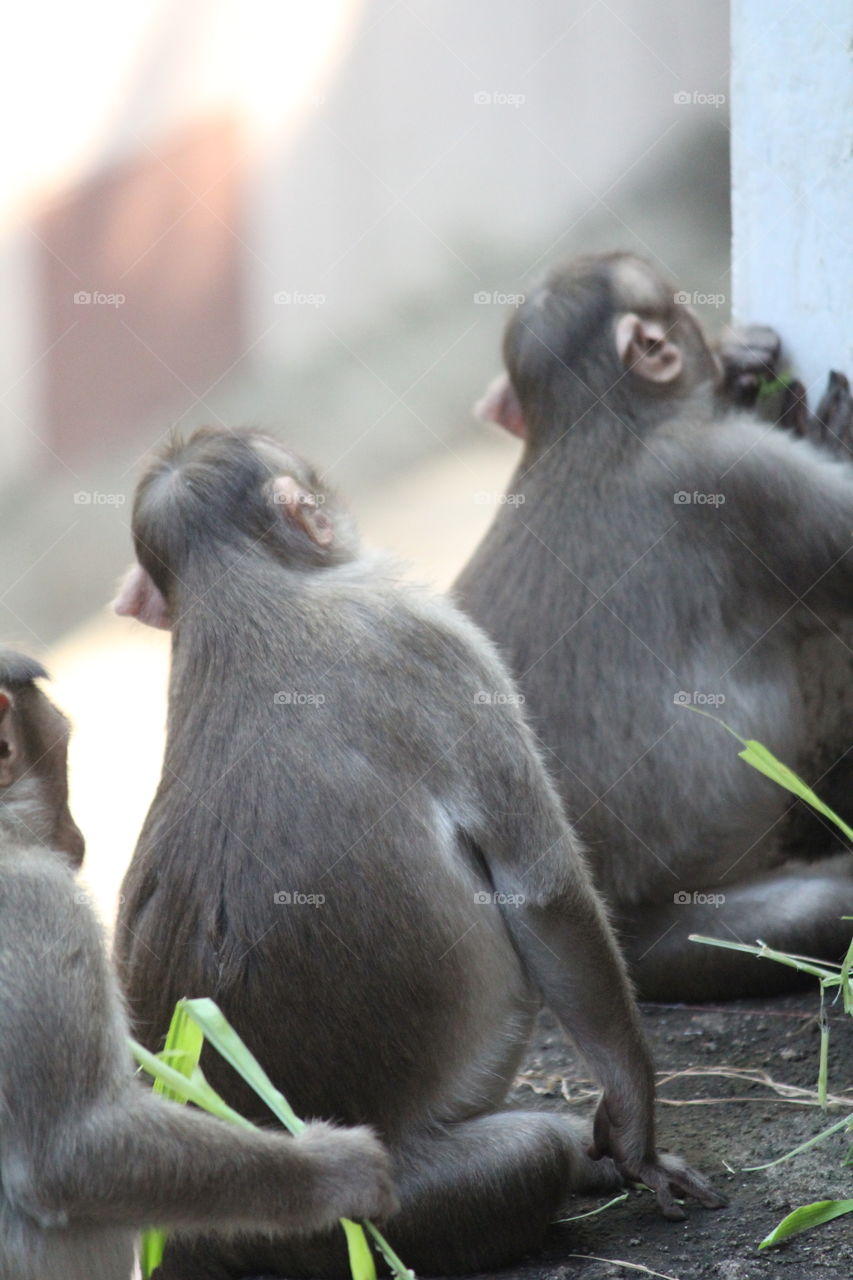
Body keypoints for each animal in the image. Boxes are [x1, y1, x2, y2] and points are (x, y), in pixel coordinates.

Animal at [112, 428, 724, 1279]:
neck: (237, 591)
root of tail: (201, 1238)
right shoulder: (434, 637)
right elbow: (543, 893)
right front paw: (635, 1136)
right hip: (374, 1214)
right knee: (526, 1153)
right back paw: (573, 1160)